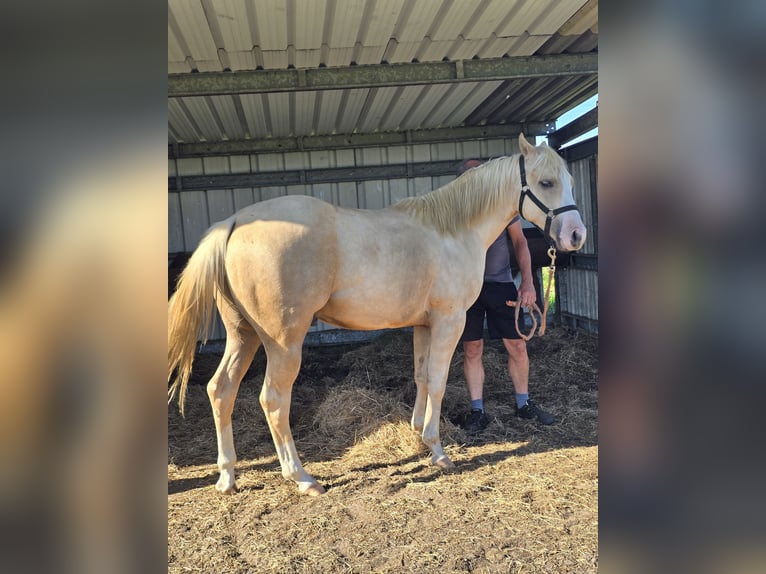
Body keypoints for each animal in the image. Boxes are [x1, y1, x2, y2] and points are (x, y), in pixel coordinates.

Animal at [168, 133, 586, 496]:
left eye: (569, 181)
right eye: (546, 182)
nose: (576, 236)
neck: (452, 231)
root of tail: (234, 222)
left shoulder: (423, 324)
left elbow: (421, 377)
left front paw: (418, 433)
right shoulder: (450, 321)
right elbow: (437, 381)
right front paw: (437, 451)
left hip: (244, 335)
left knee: (220, 390)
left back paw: (227, 477)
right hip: (283, 343)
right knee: (273, 399)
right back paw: (302, 477)